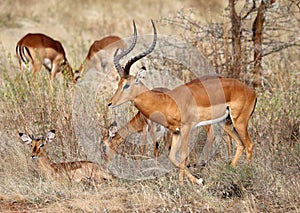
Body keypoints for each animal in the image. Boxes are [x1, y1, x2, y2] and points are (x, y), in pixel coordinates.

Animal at [104, 20, 256, 185]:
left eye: (126, 85)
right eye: (119, 83)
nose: (110, 103)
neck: (166, 102)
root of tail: (251, 91)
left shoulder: (186, 128)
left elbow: (182, 155)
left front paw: (188, 183)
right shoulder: (175, 132)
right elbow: (172, 157)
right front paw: (194, 181)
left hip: (240, 122)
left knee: (249, 145)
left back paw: (248, 175)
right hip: (226, 123)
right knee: (240, 145)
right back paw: (230, 169)